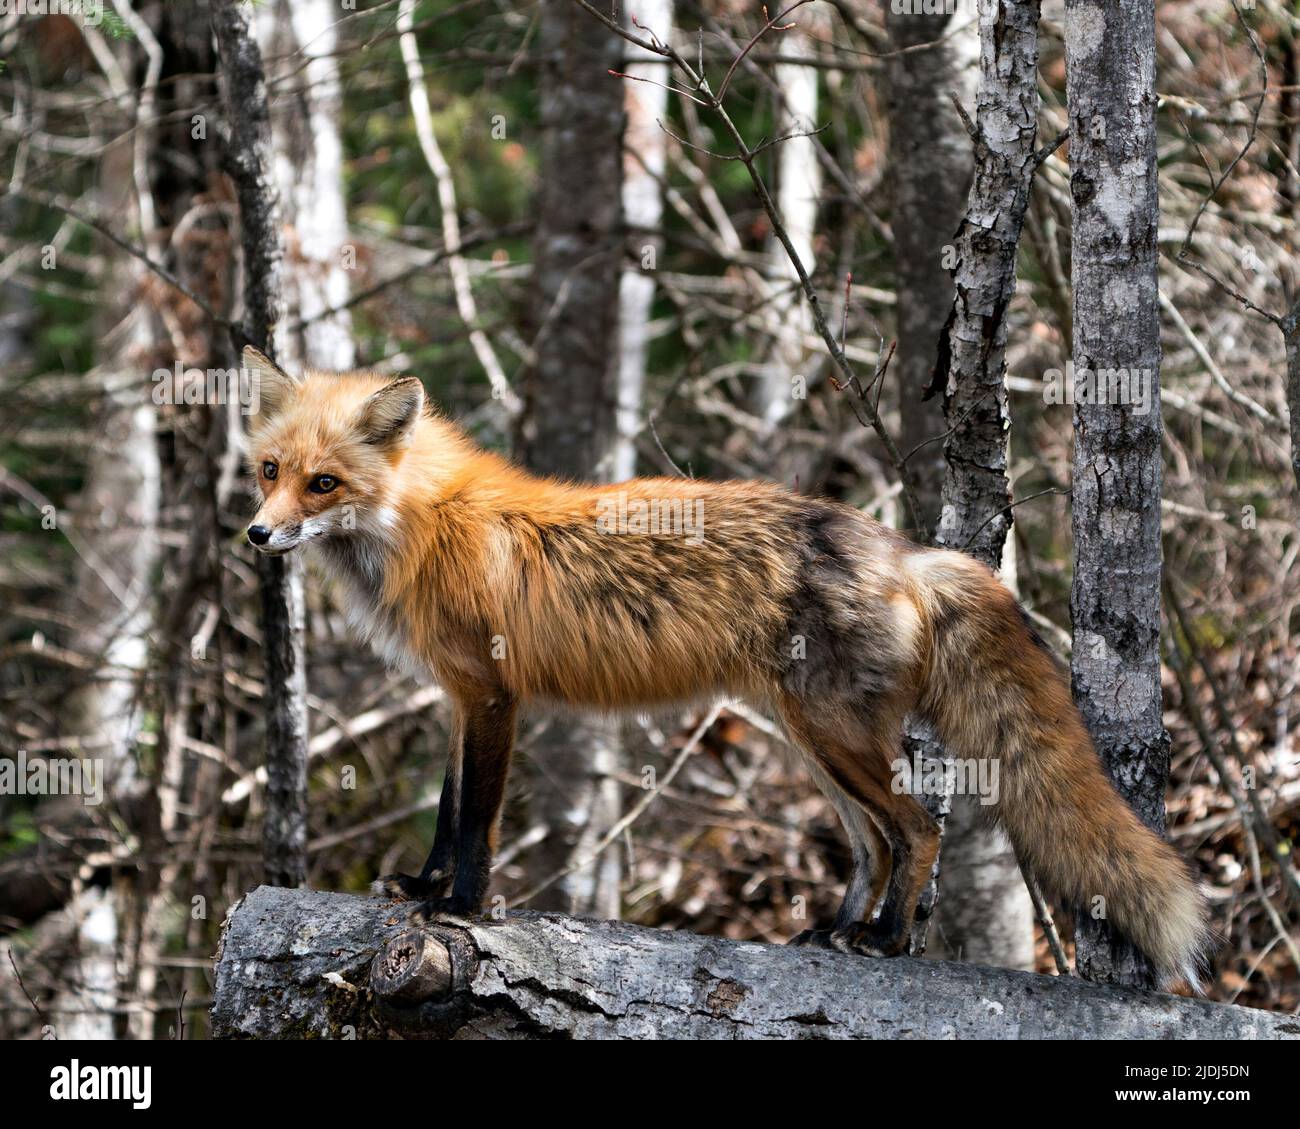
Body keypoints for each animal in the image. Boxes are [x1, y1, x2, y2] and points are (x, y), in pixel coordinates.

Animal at [241, 348, 1206, 993]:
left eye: (324, 484)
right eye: (269, 470)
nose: (256, 533)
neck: (421, 526)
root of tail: (903, 548)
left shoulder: (490, 694)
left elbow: (476, 819)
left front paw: (464, 909)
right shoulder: (457, 697)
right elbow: (446, 814)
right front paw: (421, 886)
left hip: (832, 735)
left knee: (918, 828)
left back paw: (888, 942)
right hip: (812, 739)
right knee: (874, 841)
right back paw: (839, 930)